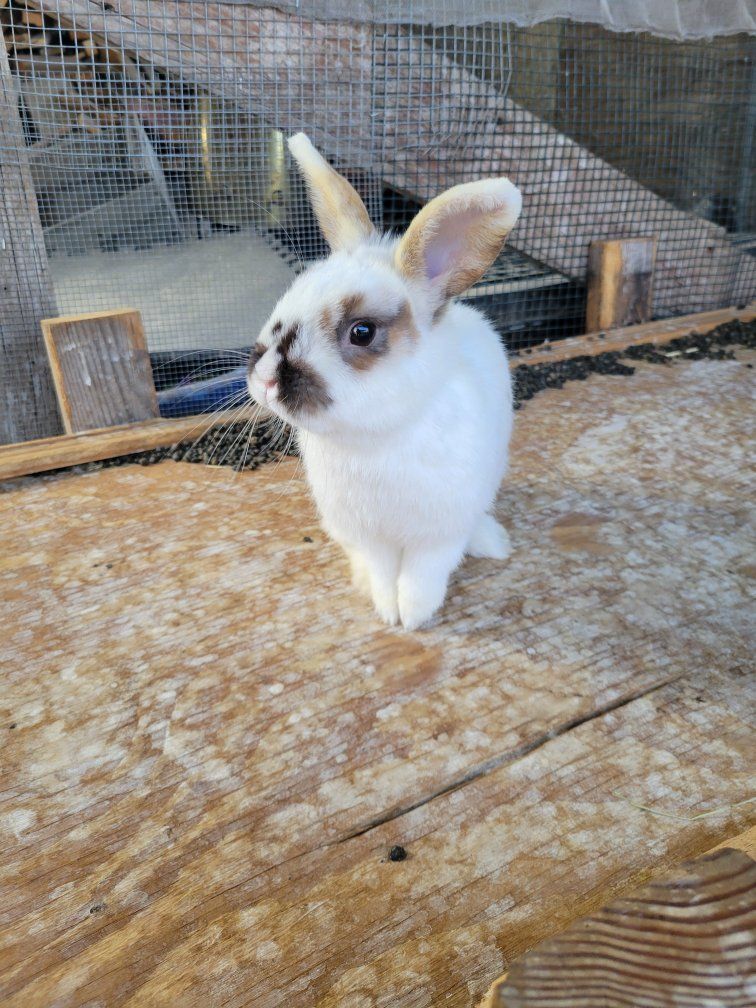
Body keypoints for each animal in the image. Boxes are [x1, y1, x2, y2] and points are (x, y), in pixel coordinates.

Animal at [247, 133, 522, 630]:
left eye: (362, 332)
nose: (265, 381)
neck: (375, 438)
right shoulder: (368, 534)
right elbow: (381, 568)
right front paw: (386, 609)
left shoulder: (439, 533)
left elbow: (422, 575)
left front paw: (413, 617)